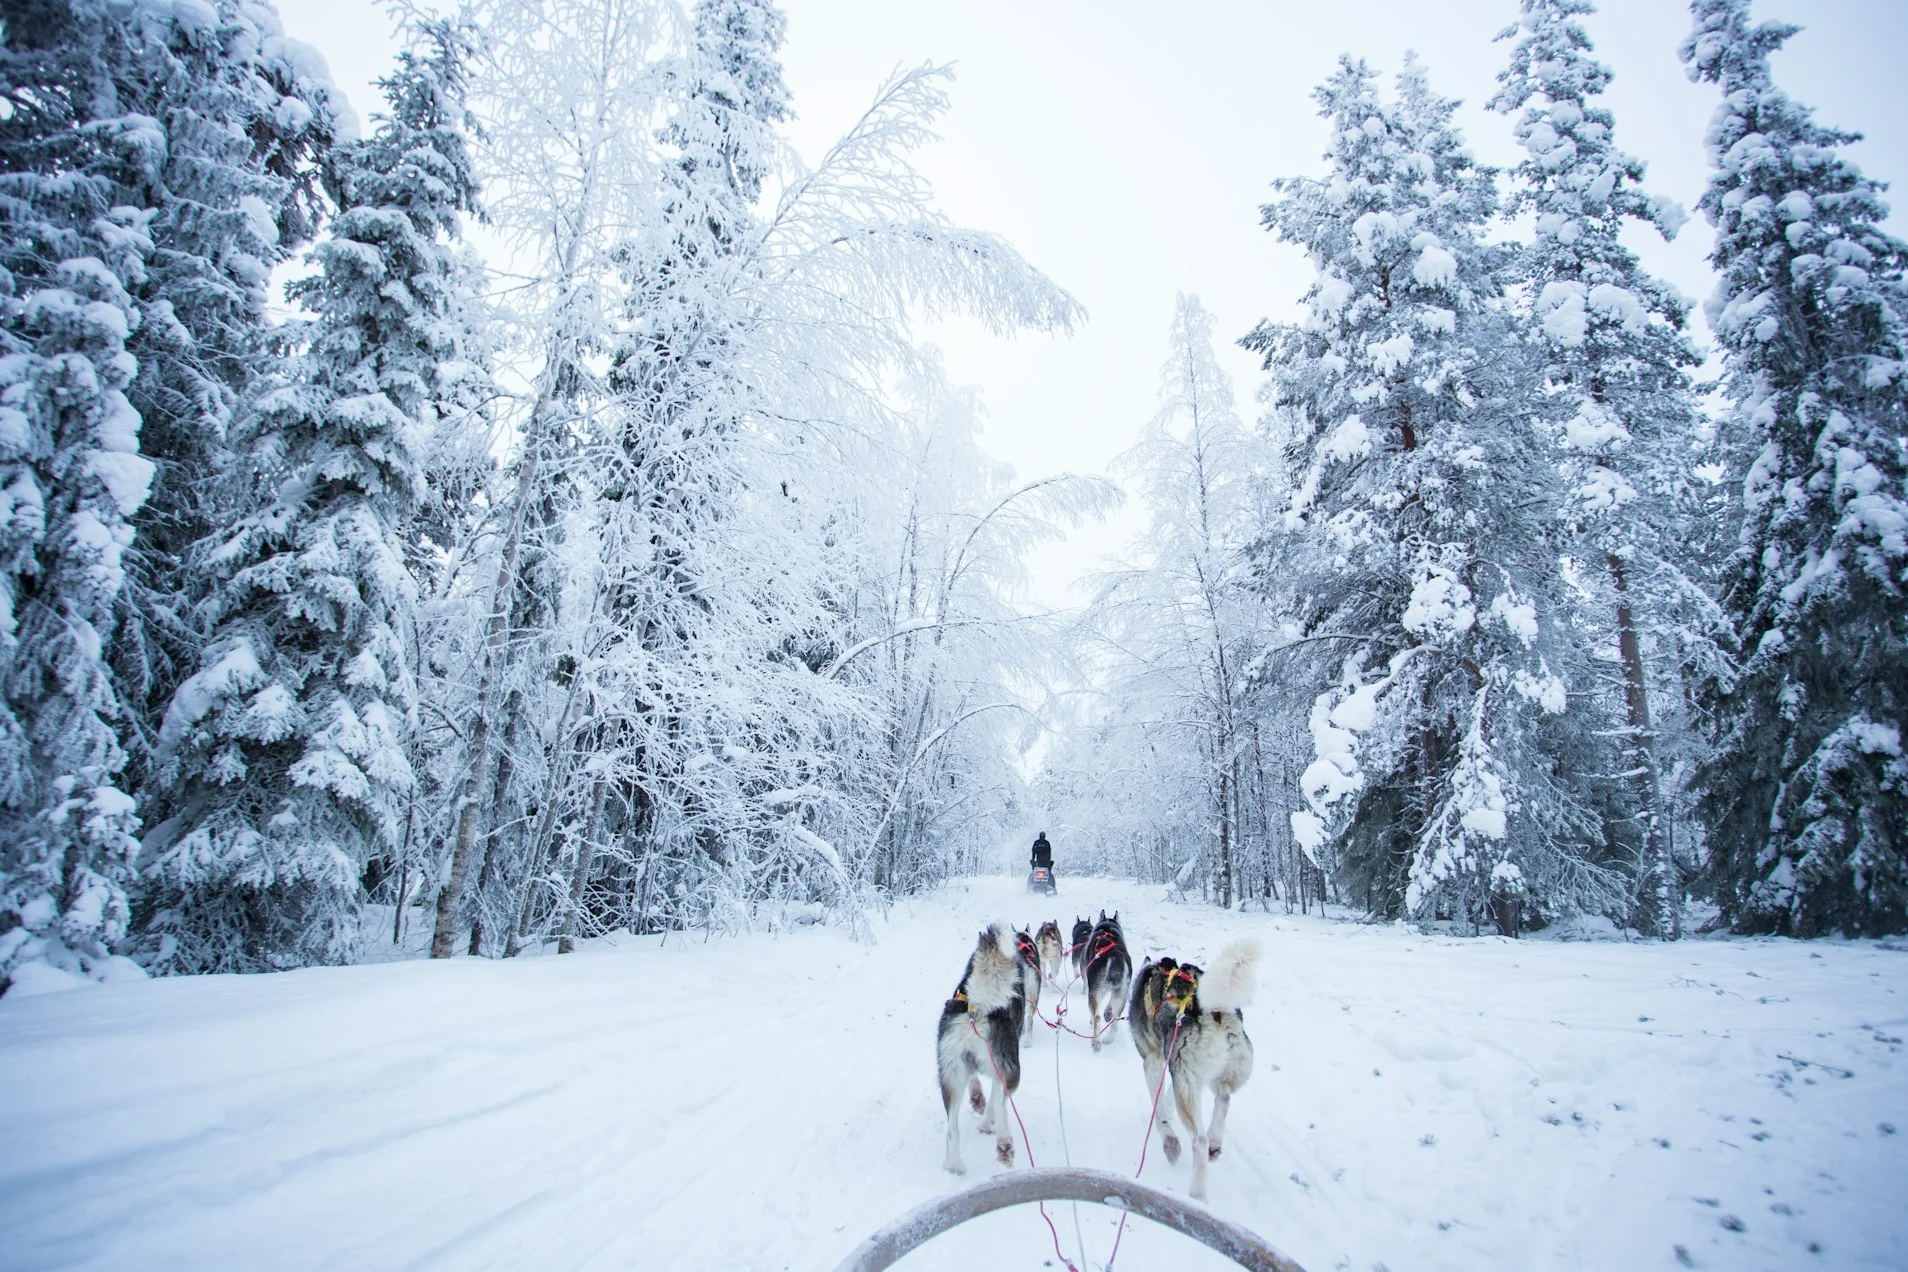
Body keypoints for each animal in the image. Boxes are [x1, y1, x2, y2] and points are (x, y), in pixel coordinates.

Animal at [942, 926, 1030, 1174]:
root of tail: (979, 1008)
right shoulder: (999, 1071)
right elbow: (994, 1099)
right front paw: (987, 1122)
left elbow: (976, 1084)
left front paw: (977, 1100)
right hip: (1011, 1070)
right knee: (1001, 1104)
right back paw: (1004, 1144)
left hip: (951, 1076)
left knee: (951, 1128)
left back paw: (954, 1165)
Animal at [1083, 915, 1121, 1052]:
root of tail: (1113, 955)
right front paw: (1108, 1012)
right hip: (1121, 993)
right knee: (1116, 1019)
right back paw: (1109, 1038)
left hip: (1095, 991)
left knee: (1097, 1017)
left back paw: (1096, 1042)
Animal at [1121, 942, 1259, 1197]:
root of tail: (1211, 1009)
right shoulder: (1179, 1070)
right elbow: (1165, 1098)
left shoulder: (1153, 1061)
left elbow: (1159, 1112)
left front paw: (1169, 1142)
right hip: (1216, 1074)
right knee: (1224, 1098)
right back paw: (1215, 1142)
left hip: (1186, 1085)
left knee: (1199, 1140)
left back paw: (1198, 1194)